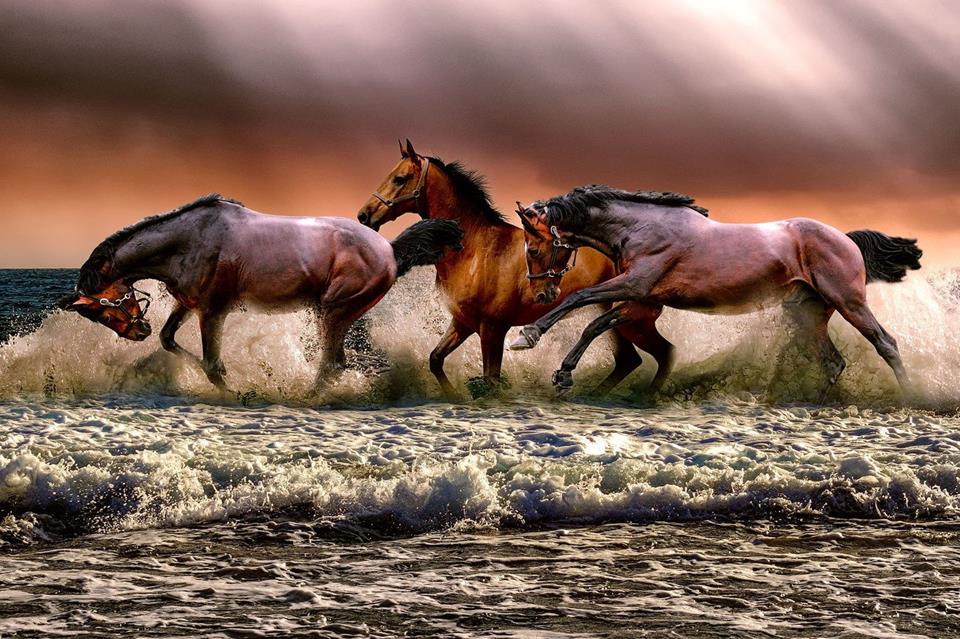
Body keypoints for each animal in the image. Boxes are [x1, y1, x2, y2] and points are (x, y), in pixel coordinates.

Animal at [61, 193, 463, 391]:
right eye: (96, 314)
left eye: (104, 306)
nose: (136, 331)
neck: (189, 241)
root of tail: (390, 250)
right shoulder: (188, 304)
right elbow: (169, 339)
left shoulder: (213, 311)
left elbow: (212, 365)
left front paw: (239, 393)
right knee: (335, 364)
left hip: (334, 312)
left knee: (331, 365)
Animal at [356, 139, 672, 396]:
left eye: (399, 178)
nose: (364, 215)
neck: (475, 250)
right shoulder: (462, 323)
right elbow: (435, 360)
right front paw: (455, 396)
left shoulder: (493, 329)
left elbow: (491, 380)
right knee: (631, 360)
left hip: (632, 321)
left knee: (659, 354)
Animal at [510, 185, 923, 398]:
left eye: (533, 249)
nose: (542, 294)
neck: (641, 228)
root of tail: (845, 238)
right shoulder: (642, 300)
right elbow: (595, 325)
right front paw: (563, 374)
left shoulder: (636, 285)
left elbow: (579, 300)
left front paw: (526, 336)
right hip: (807, 313)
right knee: (833, 361)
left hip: (849, 302)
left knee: (886, 343)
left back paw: (912, 395)